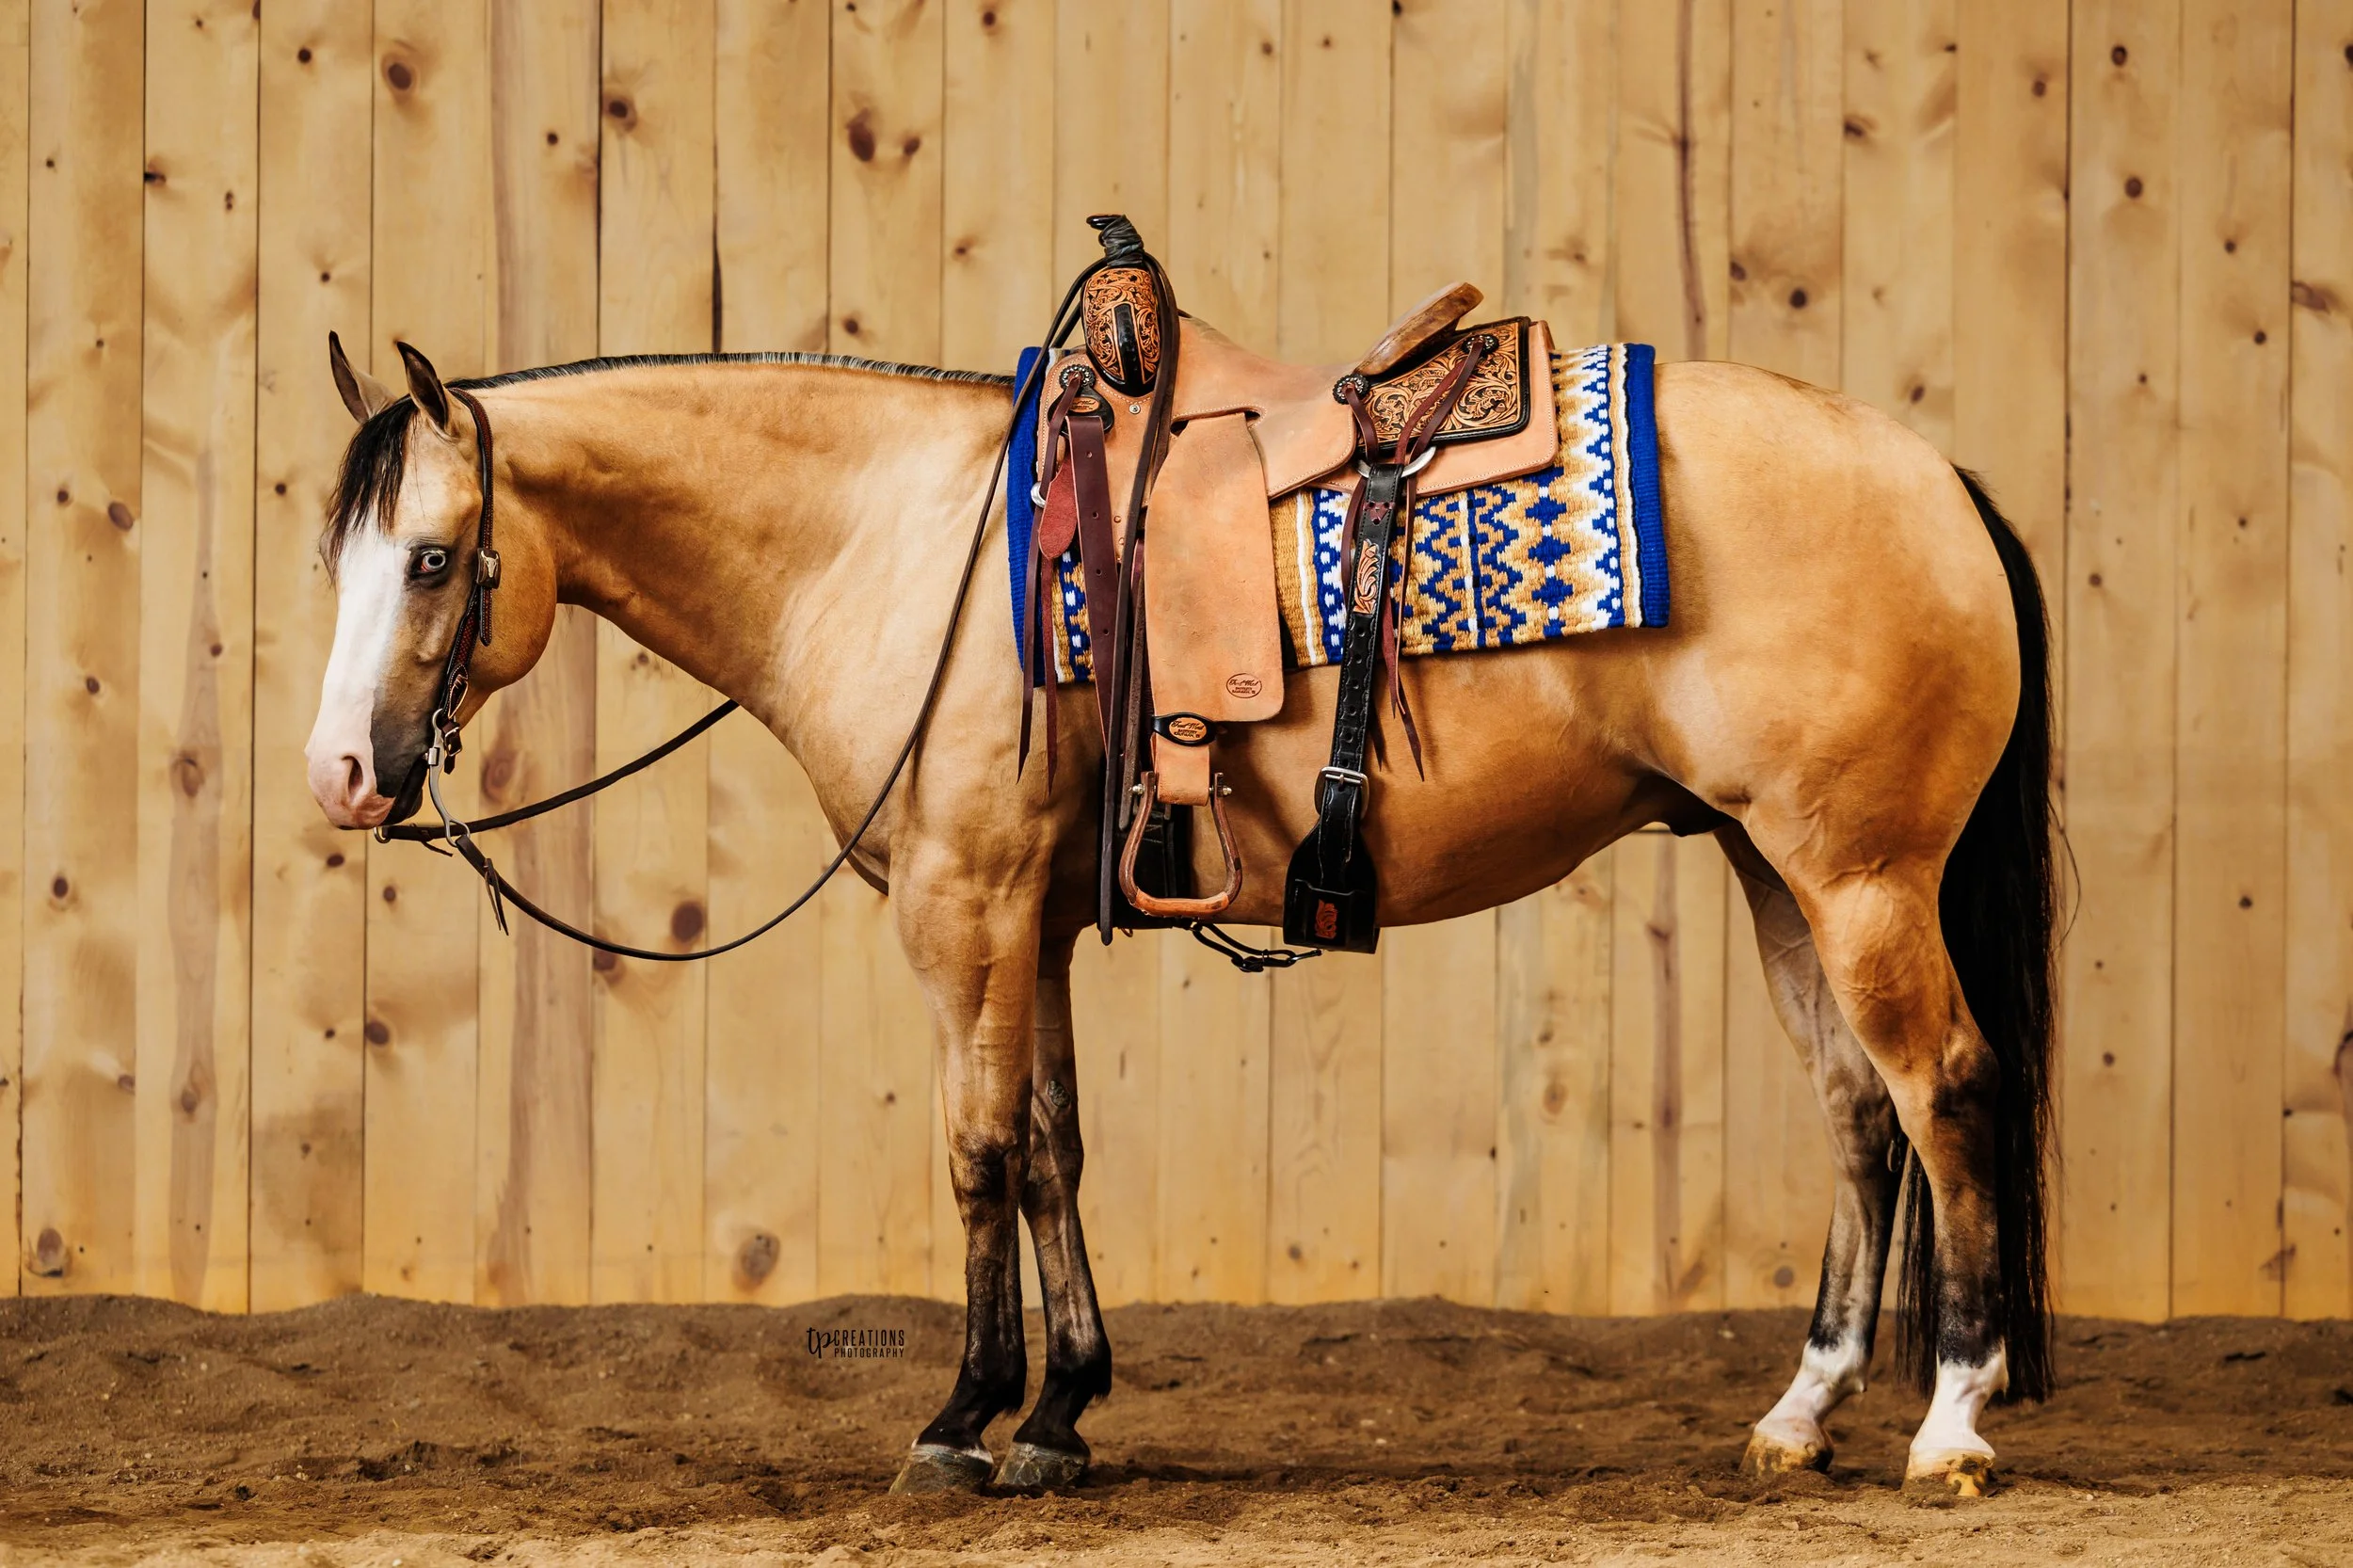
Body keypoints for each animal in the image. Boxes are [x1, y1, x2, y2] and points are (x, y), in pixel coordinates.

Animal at [304, 328, 2056, 1501]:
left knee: (1947, 1091)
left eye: (437, 558)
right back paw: (1801, 1415)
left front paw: (961, 1419)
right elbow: (1054, 1143)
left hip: (1861, 877)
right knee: (1859, 1116)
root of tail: (1940, 477)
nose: (340, 775)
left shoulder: (961, 904)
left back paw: (1952, 1424)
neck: (893, 544)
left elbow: (977, 1150)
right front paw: (1060, 1413)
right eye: (342, 562)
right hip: (1778, 872)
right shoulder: (1030, 919)